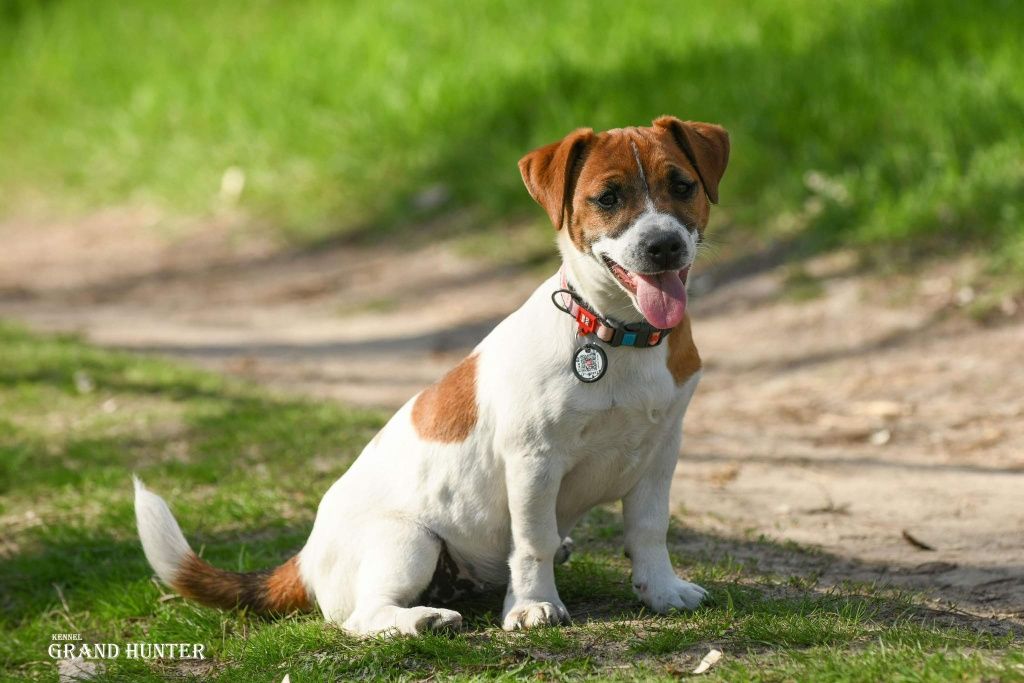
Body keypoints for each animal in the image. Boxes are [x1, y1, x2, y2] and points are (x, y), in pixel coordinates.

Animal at [134, 116, 729, 634]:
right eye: (608, 198)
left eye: (682, 186)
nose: (663, 245)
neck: (615, 331)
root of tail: (304, 560)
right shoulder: (534, 461)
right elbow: (533, 540)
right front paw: (533, 605)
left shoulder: (660, 452)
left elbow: (649, 530)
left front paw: (661, 591)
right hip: (409, 542)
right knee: (362, 618)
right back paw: (423, 620)